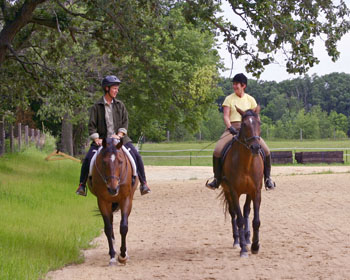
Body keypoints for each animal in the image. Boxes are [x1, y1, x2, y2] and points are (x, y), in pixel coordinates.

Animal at [220, 105, 264, 258]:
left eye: (259, 123)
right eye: (244, 124)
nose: (255, 147)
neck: (246, 163)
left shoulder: (255, 191)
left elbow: (255, 220)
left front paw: (255, 246)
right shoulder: (234, 192)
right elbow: (238, 219)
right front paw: (244, 249)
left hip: (249, 193)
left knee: (246, 211)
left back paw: (247, 237)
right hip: (227, 191)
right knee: (233, 213)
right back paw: (237, 241)